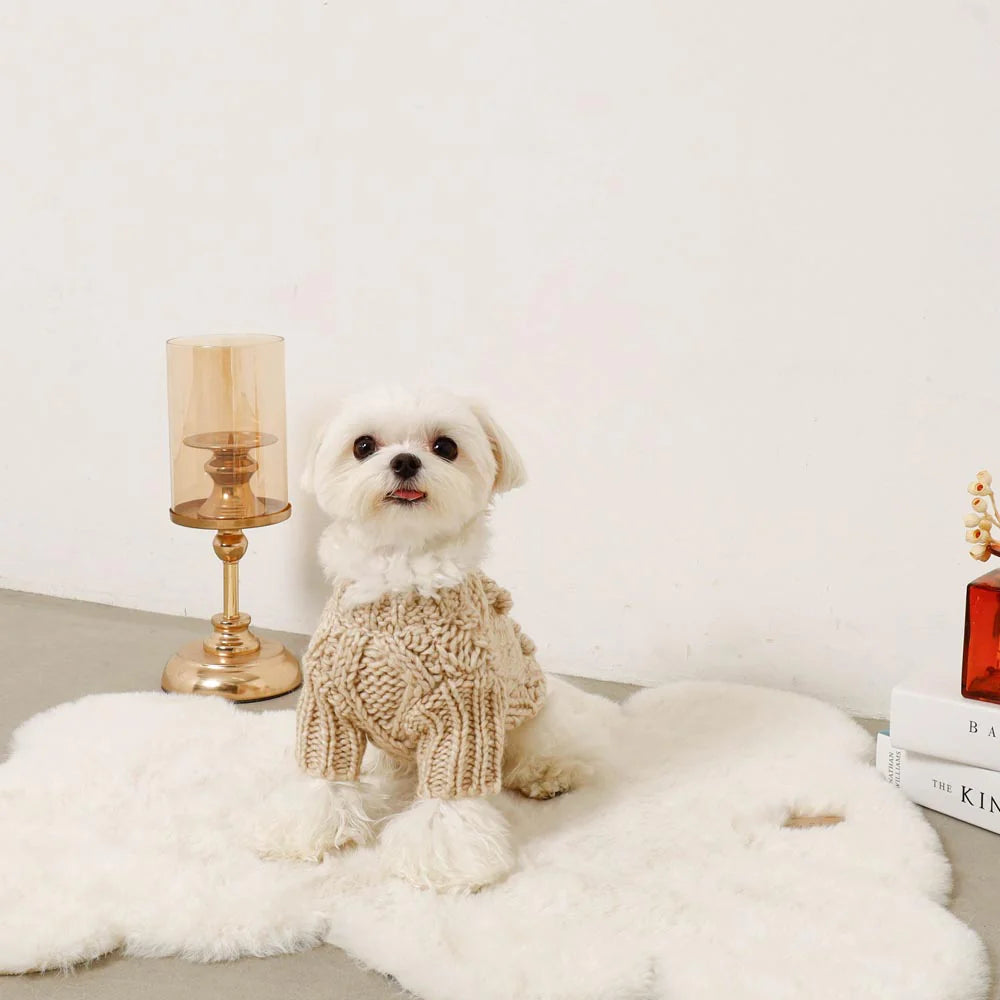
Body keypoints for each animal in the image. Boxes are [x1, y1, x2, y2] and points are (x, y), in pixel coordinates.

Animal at [267, 387, 593, 892]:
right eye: (363, 445)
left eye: (446, 447)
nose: (404, 461)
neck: (399, 574)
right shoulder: (328, 705)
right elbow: (322, 776)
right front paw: (310, 829)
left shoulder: (463, 714)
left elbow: (448, 804)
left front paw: (446, 861)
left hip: (532, 712)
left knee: (544, 743)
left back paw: (547, 773)